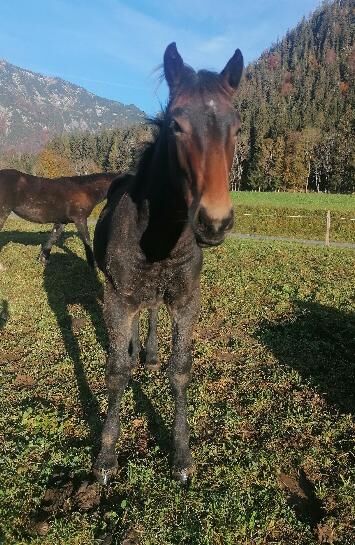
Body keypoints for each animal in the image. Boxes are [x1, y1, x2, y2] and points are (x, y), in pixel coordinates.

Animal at [93, 43, 243, 484]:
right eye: (176, 125)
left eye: (237, 128)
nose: (214, 221)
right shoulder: (117, 296)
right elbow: (117, 371)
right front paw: (105, 457)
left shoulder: (186, 299)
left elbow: (180, 370)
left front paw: (181, 455)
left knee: (153, 312)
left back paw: (150, 351)